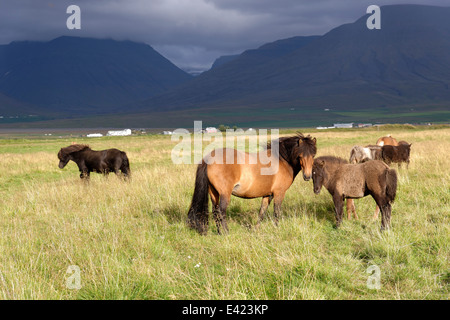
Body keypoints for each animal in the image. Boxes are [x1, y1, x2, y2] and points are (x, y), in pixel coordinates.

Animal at [186, 132, 316, 235]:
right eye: (300, 156)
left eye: (313, 155)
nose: (307, 176)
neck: (282, 160)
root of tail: (209, 158)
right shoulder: (279, 193)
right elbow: (277, 212)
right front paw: (277, 228)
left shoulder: (267, 195)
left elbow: (262, 212)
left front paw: (256, 230)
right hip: (224, 194)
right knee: (221, 212)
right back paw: (226, 233)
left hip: (213, 193)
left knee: (215, 212)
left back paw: (219, 233)